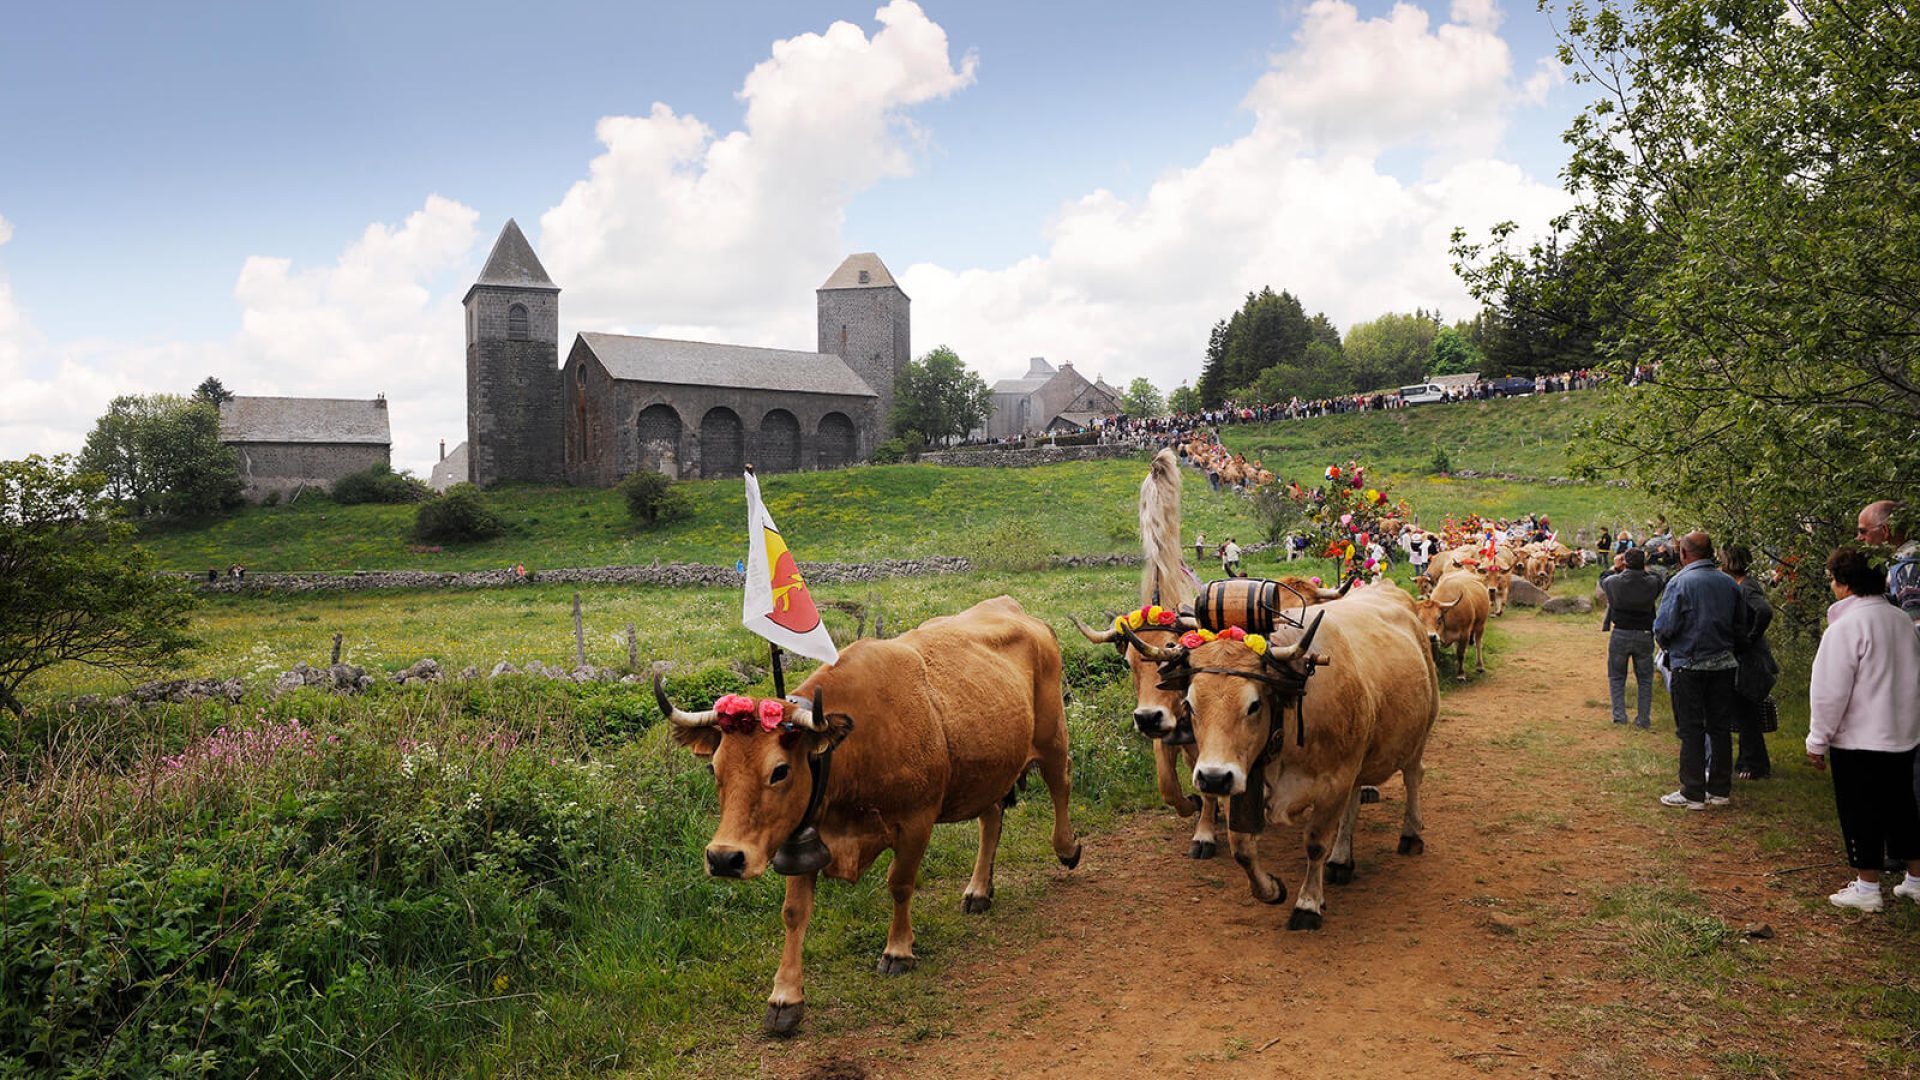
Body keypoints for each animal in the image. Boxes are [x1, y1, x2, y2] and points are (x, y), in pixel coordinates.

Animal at [1121, 580, 1436, 926]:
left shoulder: (1334, 781)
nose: (1213, 778)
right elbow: (1241, 847)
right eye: (1189, 703)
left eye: (1254, 704)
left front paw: (1308, 903)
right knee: (1354, 803)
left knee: (1413, 777)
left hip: (1419, 731)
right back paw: (1341, 859)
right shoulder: (1242, 777)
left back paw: (1410, 834)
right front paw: (1271, 889)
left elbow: (1316, 843)